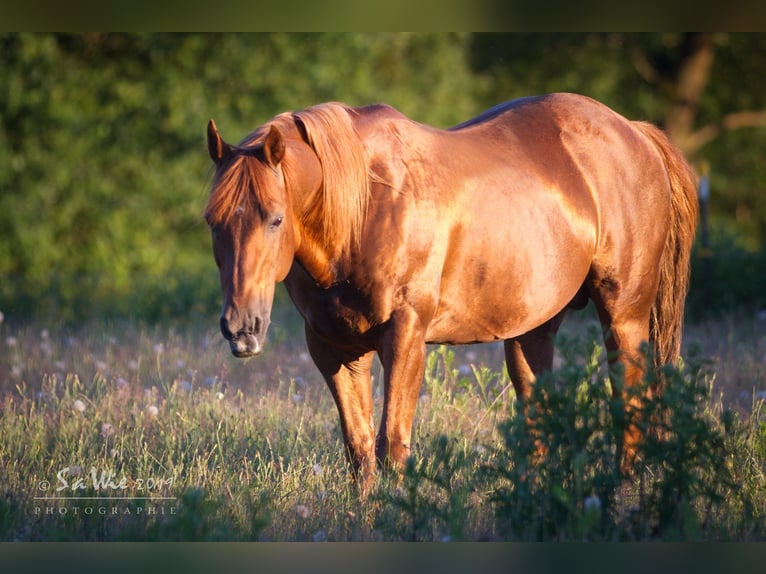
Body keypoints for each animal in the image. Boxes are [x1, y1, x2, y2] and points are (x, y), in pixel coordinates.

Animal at [204, 93, 698, 490]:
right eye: (212, 221)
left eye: (275, 218)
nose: (241, 328)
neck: (364, 210)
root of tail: (633, 131)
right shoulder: (333, 348)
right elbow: (359, 450)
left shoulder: (405, 337)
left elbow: (391, 445)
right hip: (532, 331)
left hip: (624, 315)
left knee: (629, 405)